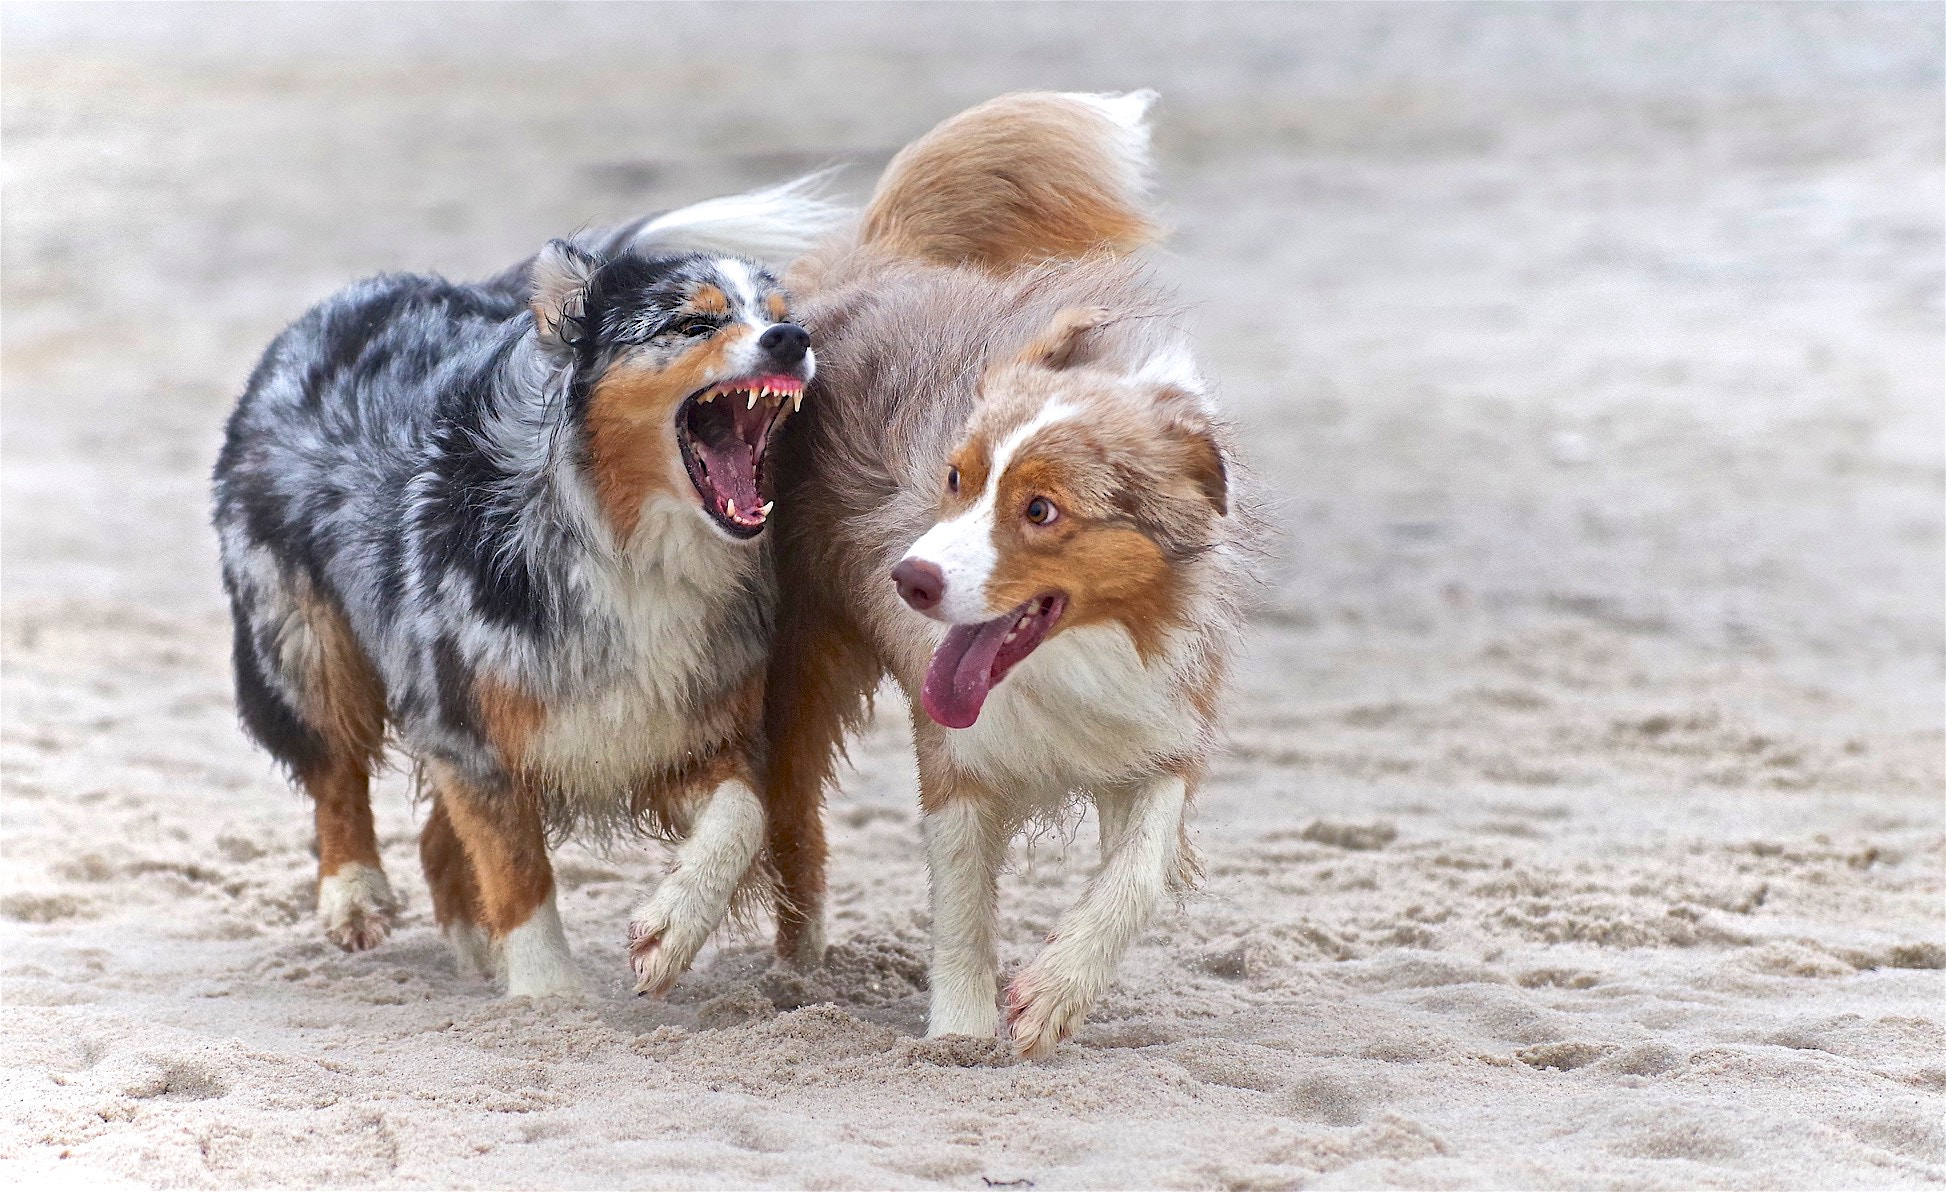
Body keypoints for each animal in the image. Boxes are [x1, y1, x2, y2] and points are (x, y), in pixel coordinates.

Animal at [766, 95, 1253, 1057]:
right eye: (956, 479)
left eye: (1041, 511)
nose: (909, 579)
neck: (1067, 658)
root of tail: (880, 258)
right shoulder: (956, 751)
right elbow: (961, 907)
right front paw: (958, 1037)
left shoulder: (1161, 724)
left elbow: (1139, 871)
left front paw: (1056, 991)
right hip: (795, 650)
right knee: (777, 802)